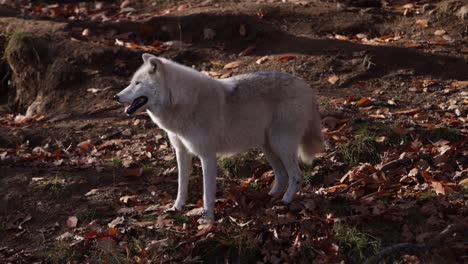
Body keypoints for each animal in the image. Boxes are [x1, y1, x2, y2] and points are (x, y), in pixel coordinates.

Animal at [115, 54, 324, 223]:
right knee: (281, 174)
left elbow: (207, 192)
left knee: (296, 176)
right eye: (132, 82)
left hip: (281, 144)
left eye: (137, 83)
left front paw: (207, 218)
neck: (183, 102)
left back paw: (286, 201)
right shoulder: (182, 152)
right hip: (268, 147)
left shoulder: (207, 156)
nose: (115, 96)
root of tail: (306, 86)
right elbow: (182, 185)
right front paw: (176, 208)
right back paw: (271, 196)